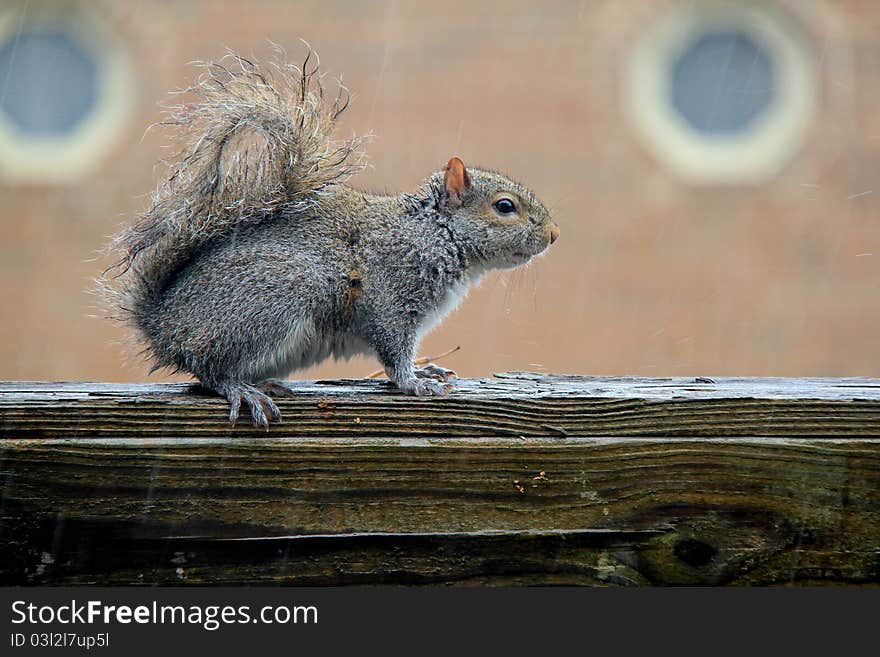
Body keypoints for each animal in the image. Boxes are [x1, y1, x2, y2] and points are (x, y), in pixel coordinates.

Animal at [101, 50, 556, 426]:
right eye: (504, 206)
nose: (554, 234)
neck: (433, 232)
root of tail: (162, 325)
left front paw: (426, 369)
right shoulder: (391, 295)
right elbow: (394, 349)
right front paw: (414, 382)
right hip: (275, 297)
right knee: (208, 370)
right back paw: (241, 389)